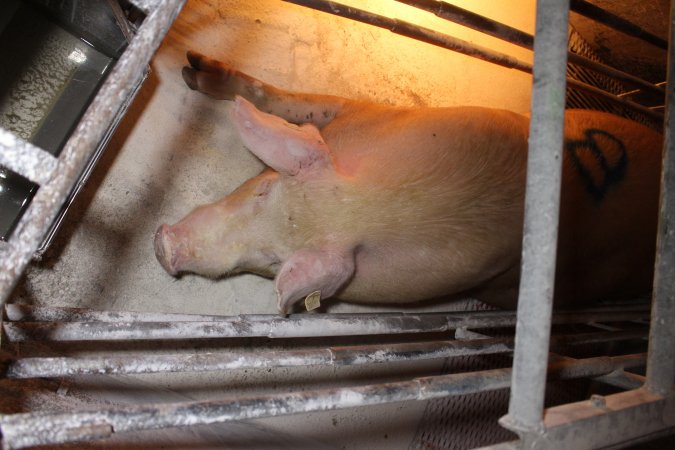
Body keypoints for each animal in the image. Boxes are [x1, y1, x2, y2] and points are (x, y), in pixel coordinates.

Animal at [154, 51, 664, 314]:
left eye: (272, 258)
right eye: (266, 188)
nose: (165, 247)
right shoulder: (369, 114)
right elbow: (295, 103)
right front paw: (191, 69)